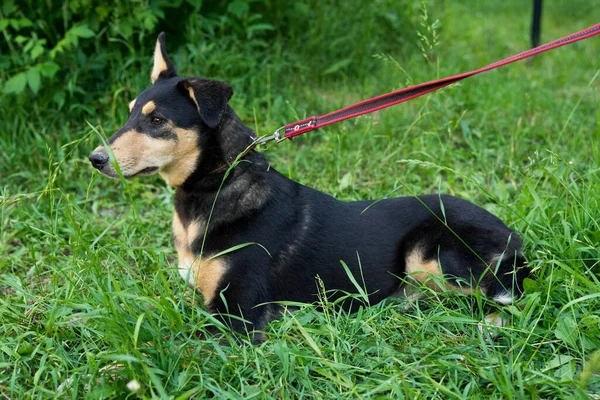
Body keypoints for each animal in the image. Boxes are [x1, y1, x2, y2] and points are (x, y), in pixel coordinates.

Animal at [89, 34, 528, 340]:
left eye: (157, 120)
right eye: (129, 114)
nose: (95, 159)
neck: (216, 187)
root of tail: (513, 235)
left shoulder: (236, 315)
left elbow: (174, 341)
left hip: (432, 252)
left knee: (510, 299)